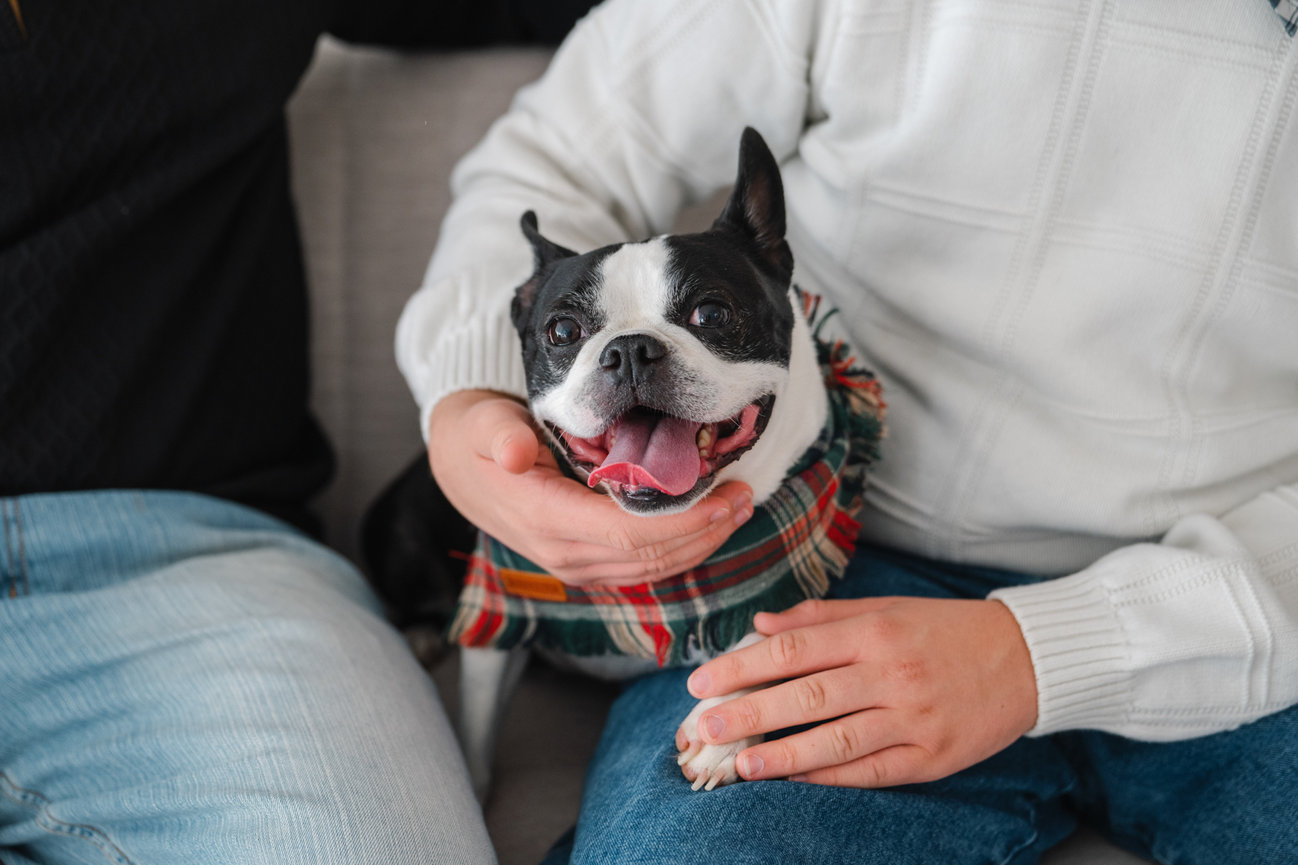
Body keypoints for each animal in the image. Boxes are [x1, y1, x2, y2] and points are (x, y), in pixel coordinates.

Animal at [366, 128, 874, 800]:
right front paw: (470, 790)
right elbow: (477, 725)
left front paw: (720, 732)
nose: (630, 349)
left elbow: (760, 629)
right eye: (561, 331)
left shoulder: (786, 556)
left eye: (712, 314)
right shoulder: (500, 607)